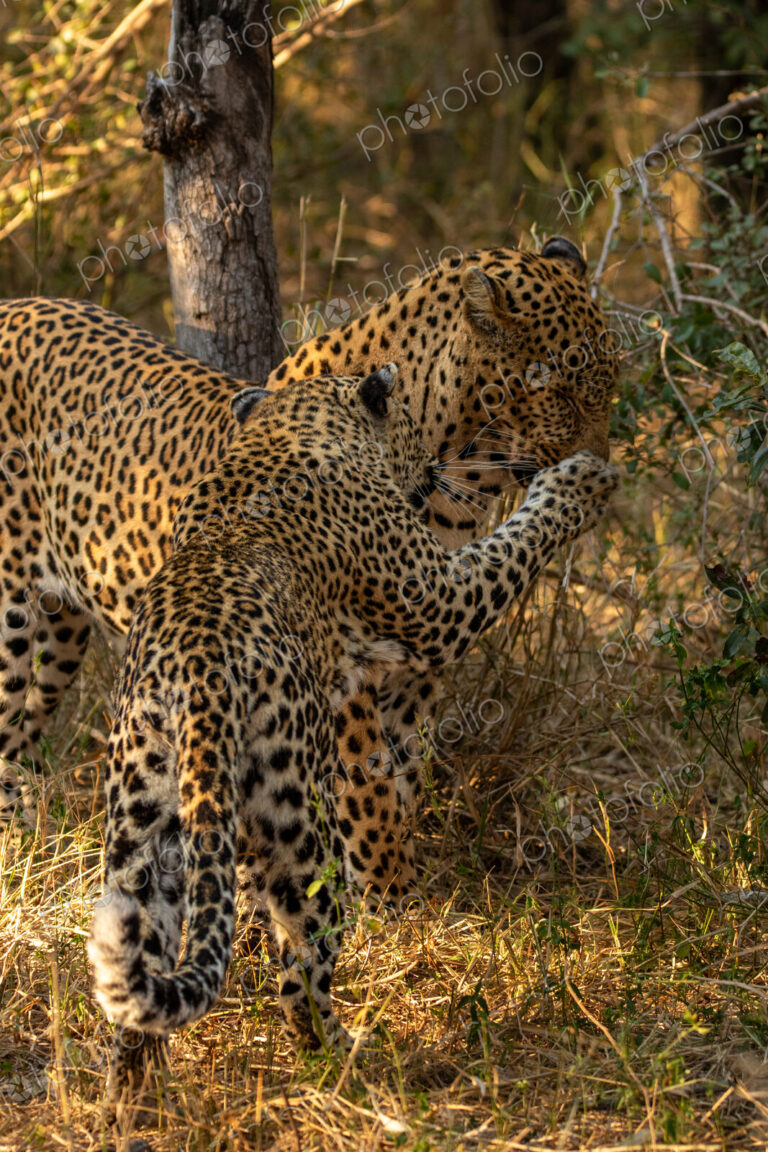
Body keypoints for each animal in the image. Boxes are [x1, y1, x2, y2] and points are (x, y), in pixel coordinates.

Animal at [0, 235, 619, 897]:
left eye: (608, 390)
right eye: (562, 394)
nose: (605, 457)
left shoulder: (415, 667)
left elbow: (402, 771)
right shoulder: (373, 652)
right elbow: (367, 786)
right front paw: (389, 897)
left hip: (63, 634)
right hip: (11, 622)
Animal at [87, 364, 617, 1110]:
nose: (433, 468)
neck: (289, 424)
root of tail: (199, 680)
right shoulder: (437, 599)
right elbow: (513, 543)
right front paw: (579, 481)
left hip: (139, 826)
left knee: (136, 986)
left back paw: (135, 1100)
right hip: (297, 828)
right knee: (299, 978)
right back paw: (352, 1060)